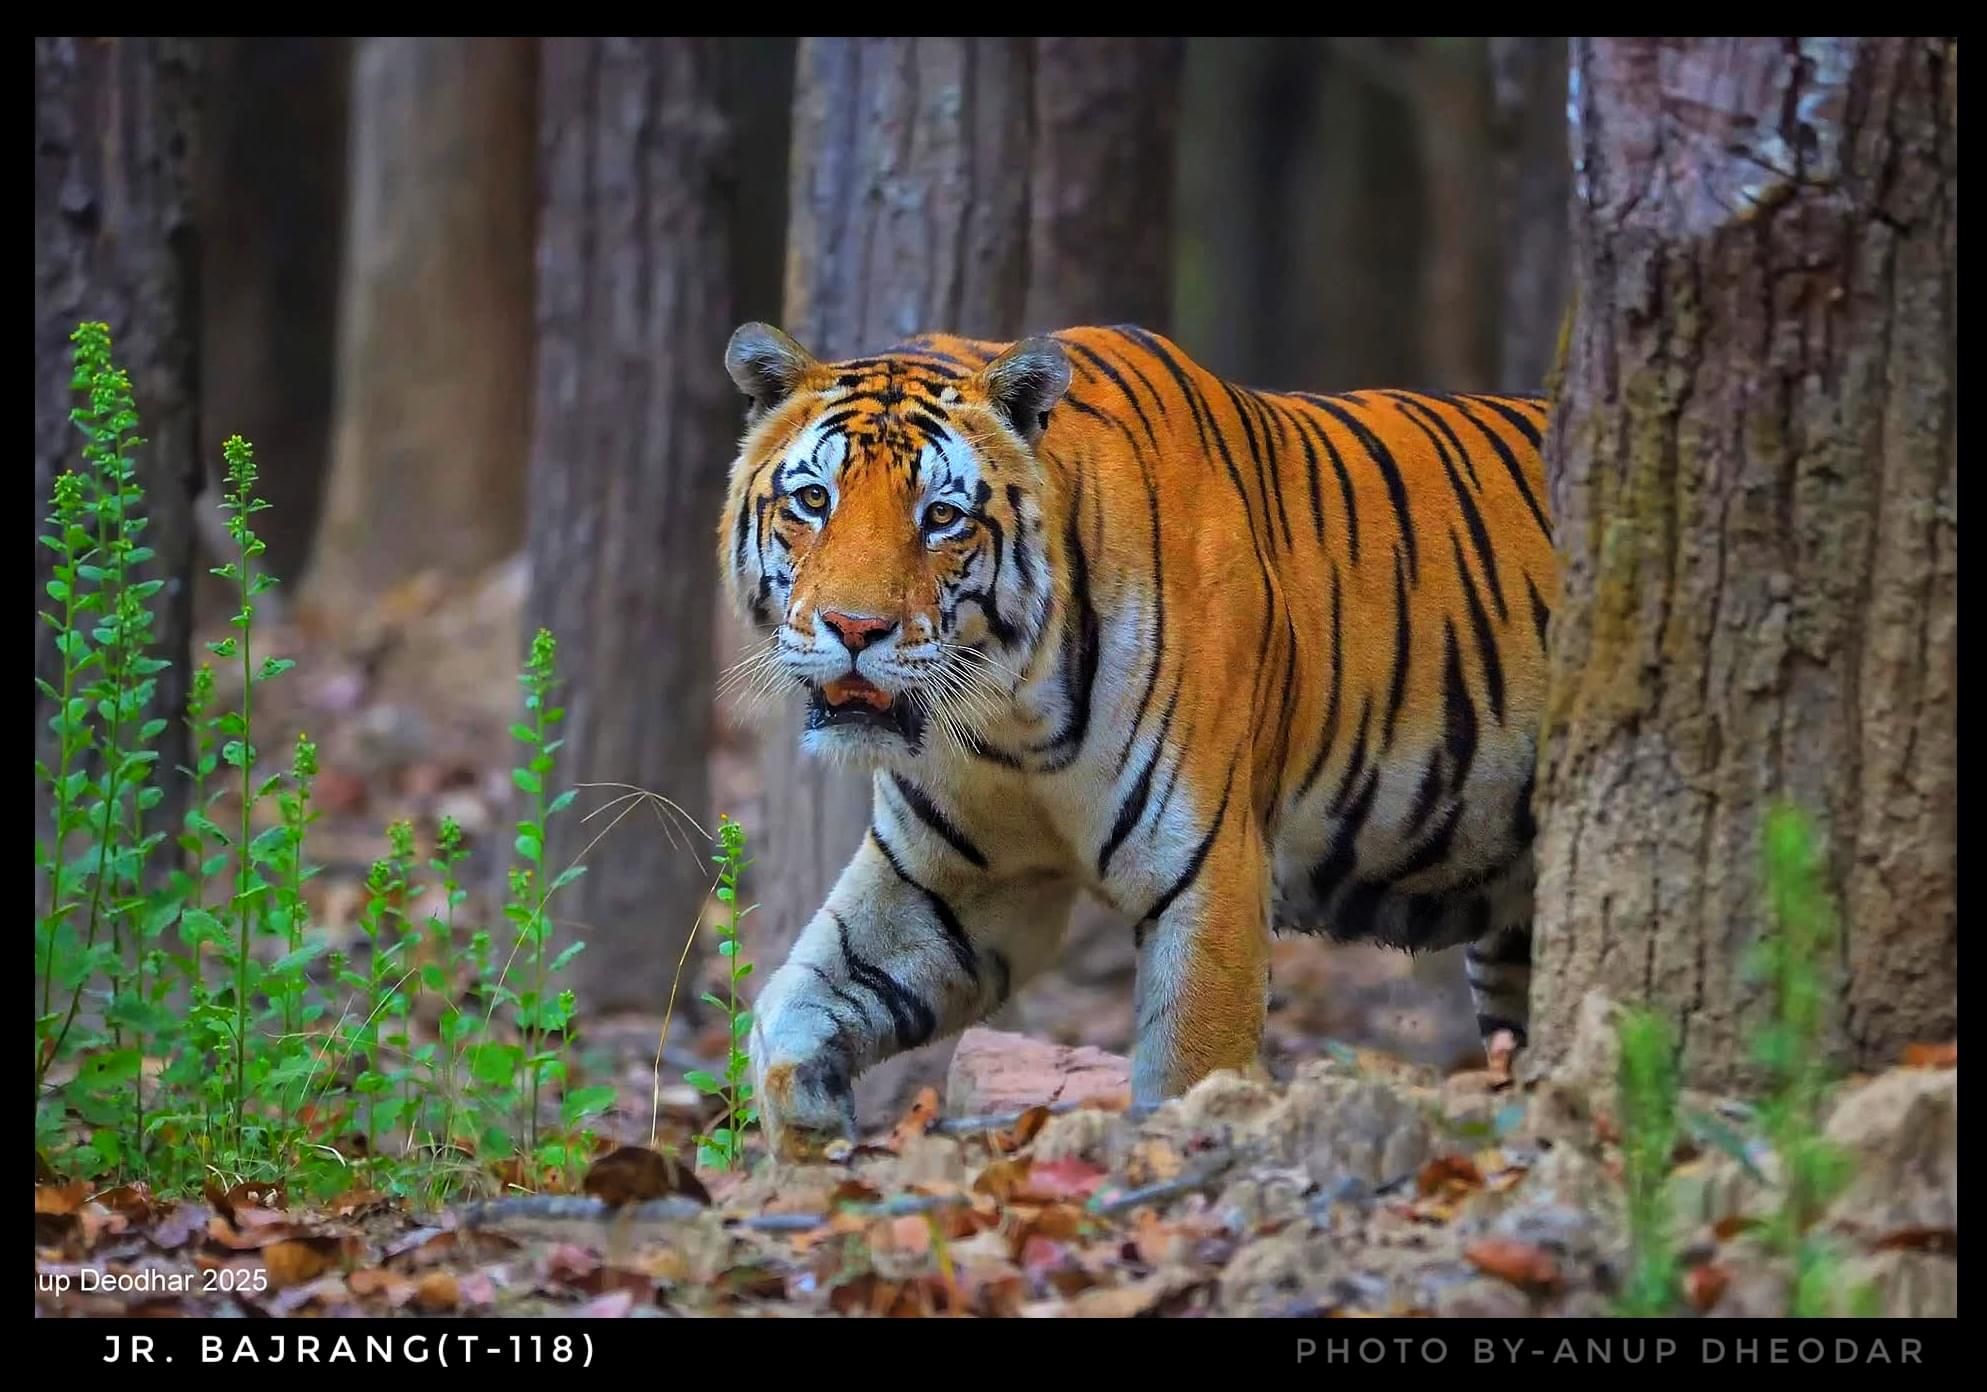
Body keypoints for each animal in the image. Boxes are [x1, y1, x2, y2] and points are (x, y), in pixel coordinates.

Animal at [715, 319, 1557, 1161]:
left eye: (942, 517)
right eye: (813, 500)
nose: (855, 629)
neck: (1006, 720)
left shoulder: (1208, 876)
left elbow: (1187, 1075)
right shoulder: (950, 879)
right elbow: (791, 1017)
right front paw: (816, 1150)